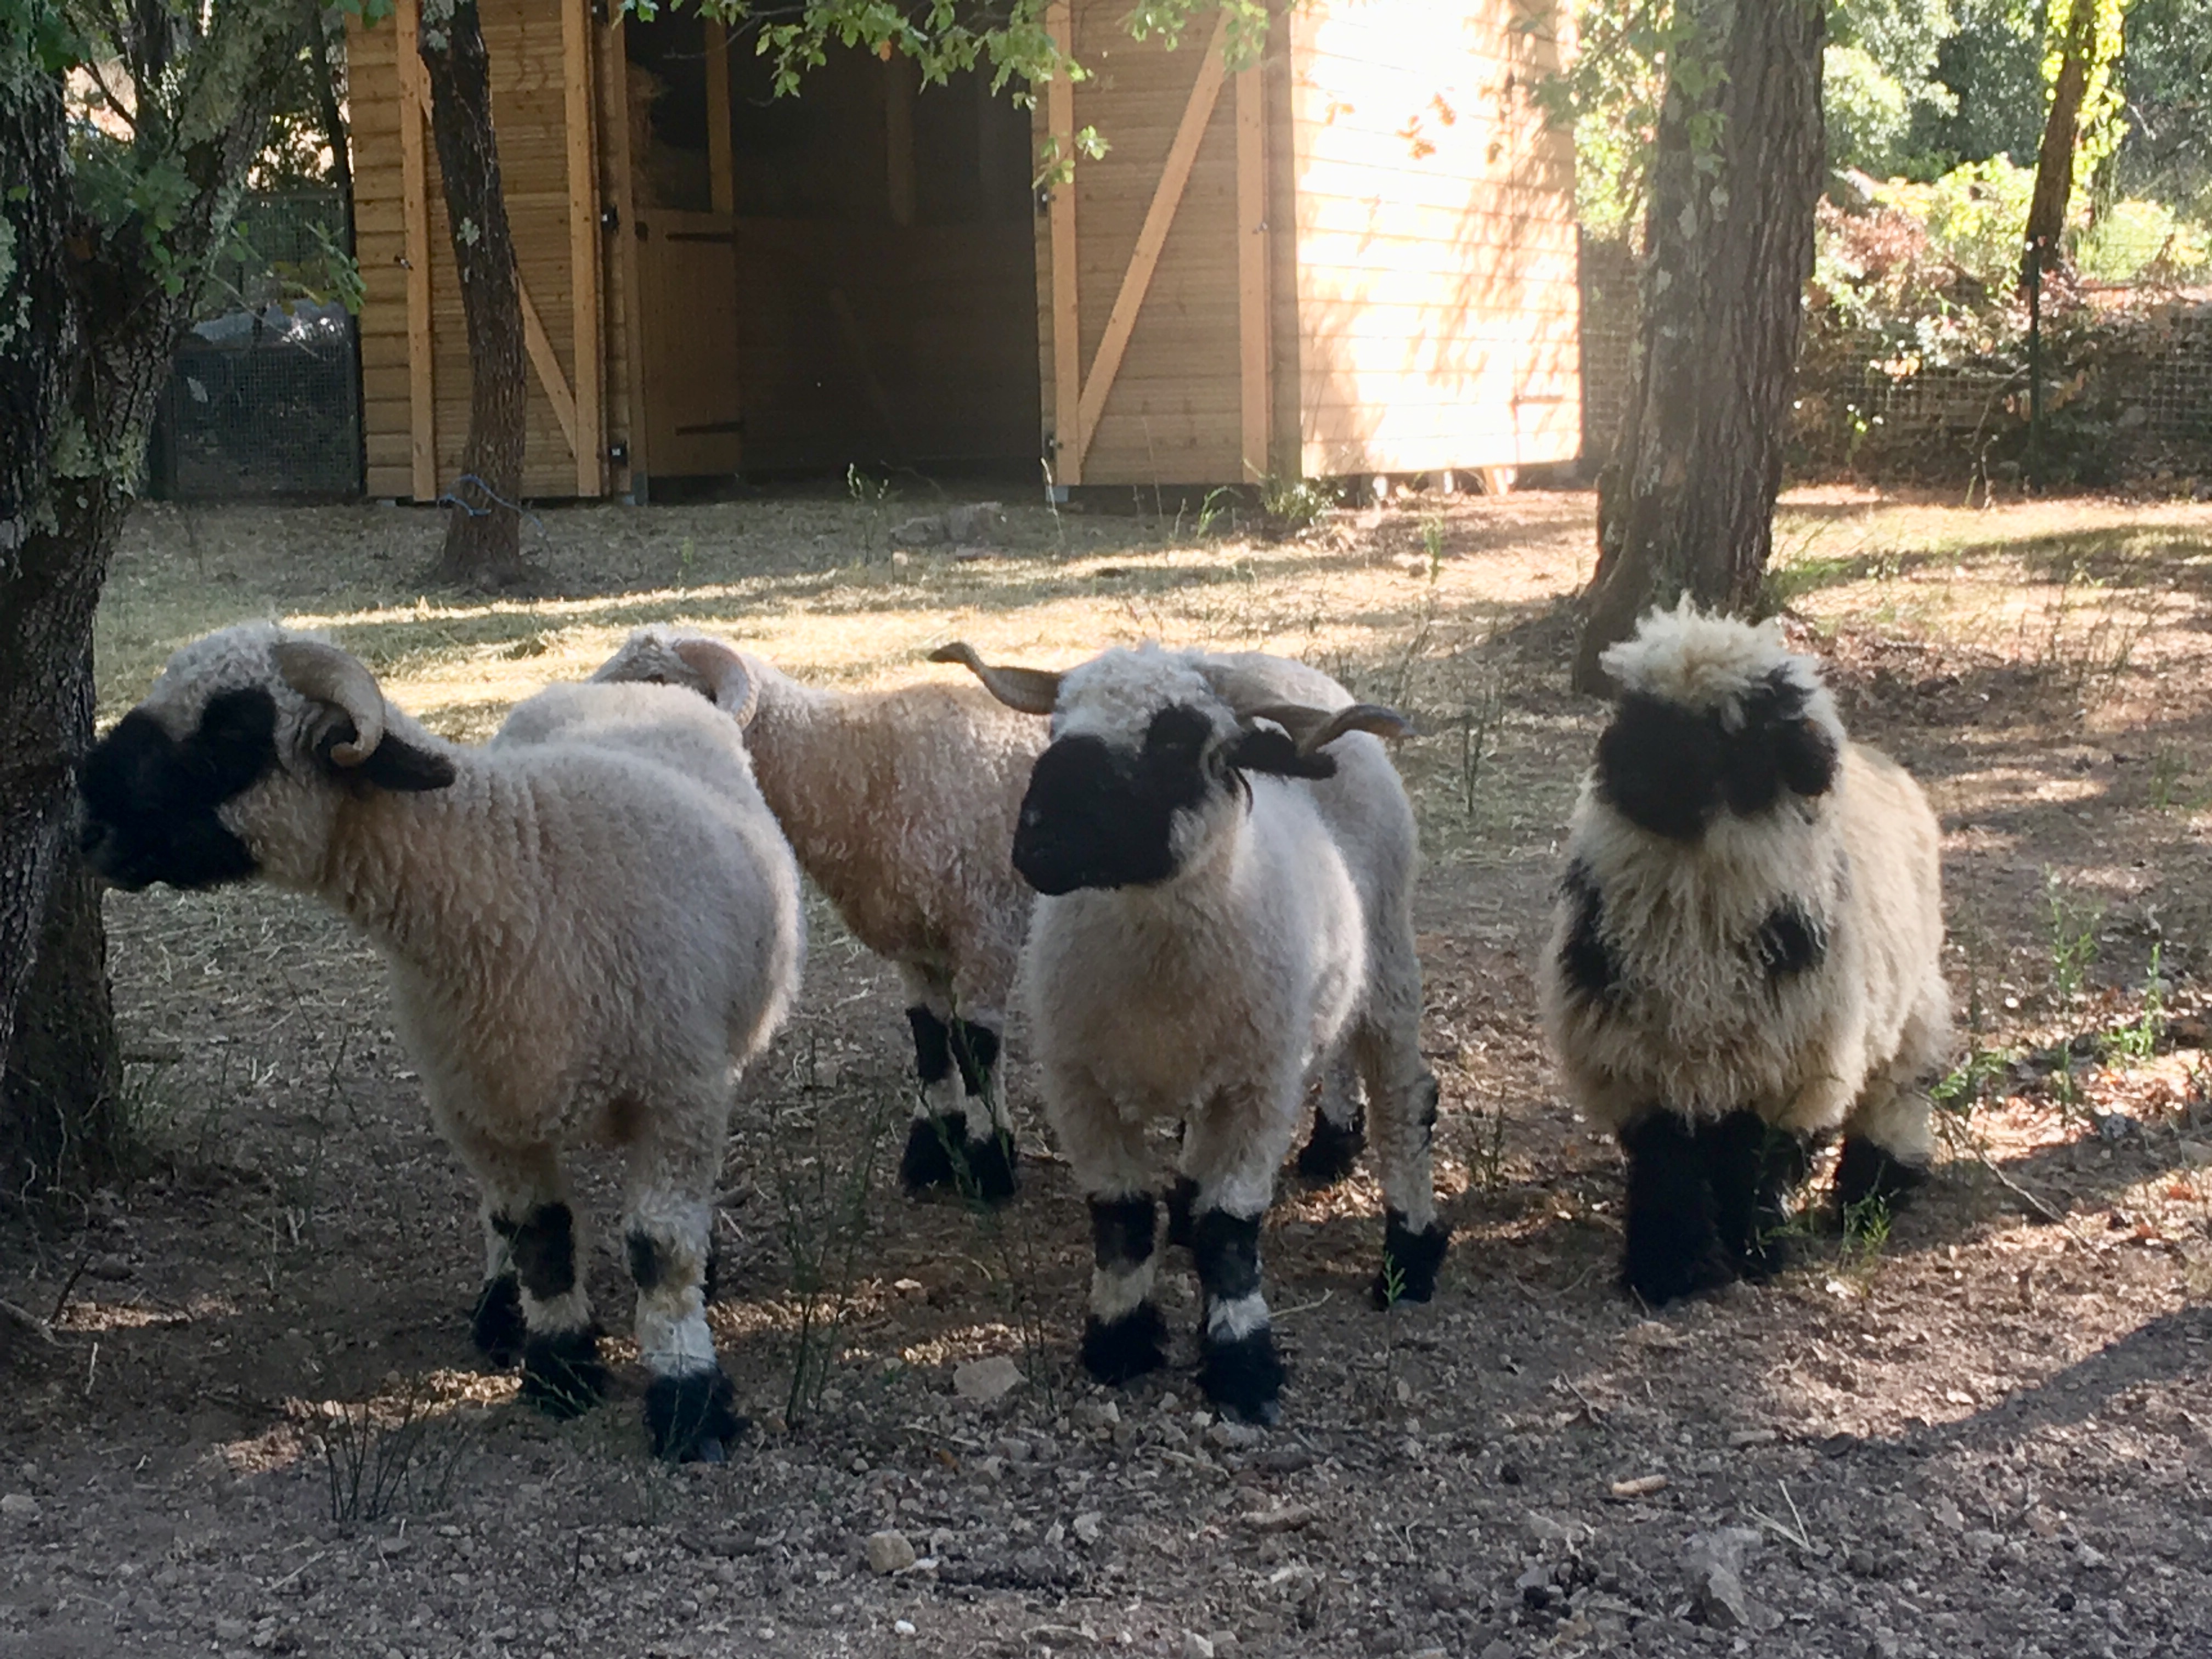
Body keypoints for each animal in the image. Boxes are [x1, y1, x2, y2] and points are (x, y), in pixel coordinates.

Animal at [77, 623, 804, 1462]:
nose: (87, 825)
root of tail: (635, 685)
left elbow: (661, 1251)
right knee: (504, 1221)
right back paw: (498, 1311)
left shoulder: (677, 1095)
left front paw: (688, 1402)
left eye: (231, 732)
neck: (514, 866)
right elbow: (540, 1238)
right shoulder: (478, 1108)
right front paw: (559, 1370)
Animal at [935, 639, 1451, 1426]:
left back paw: (1410, 1255)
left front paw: (1241, 1365)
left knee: (1404, 1099)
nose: (1040, 841)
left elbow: (1230, 1228)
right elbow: (1120, 1218)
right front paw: (1119, 1339)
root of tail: (1272, 665)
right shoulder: (1080, 1084)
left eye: (1177, 740)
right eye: (1056, 726)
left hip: (1389, 952)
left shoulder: (1260, 1086)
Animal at [1536, 601, 1951, 1306]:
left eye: (1730, 729)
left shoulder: (1784, 1065)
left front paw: (1756, 1252)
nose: (1629, 770)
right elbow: (1669, 1168)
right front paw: (1667, 1270)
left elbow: (1750, 1164)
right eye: (1634, 708)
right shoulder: (1640, 1062)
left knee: (1891, 1097)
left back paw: (1872, 1194)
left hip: (1909, 1006)